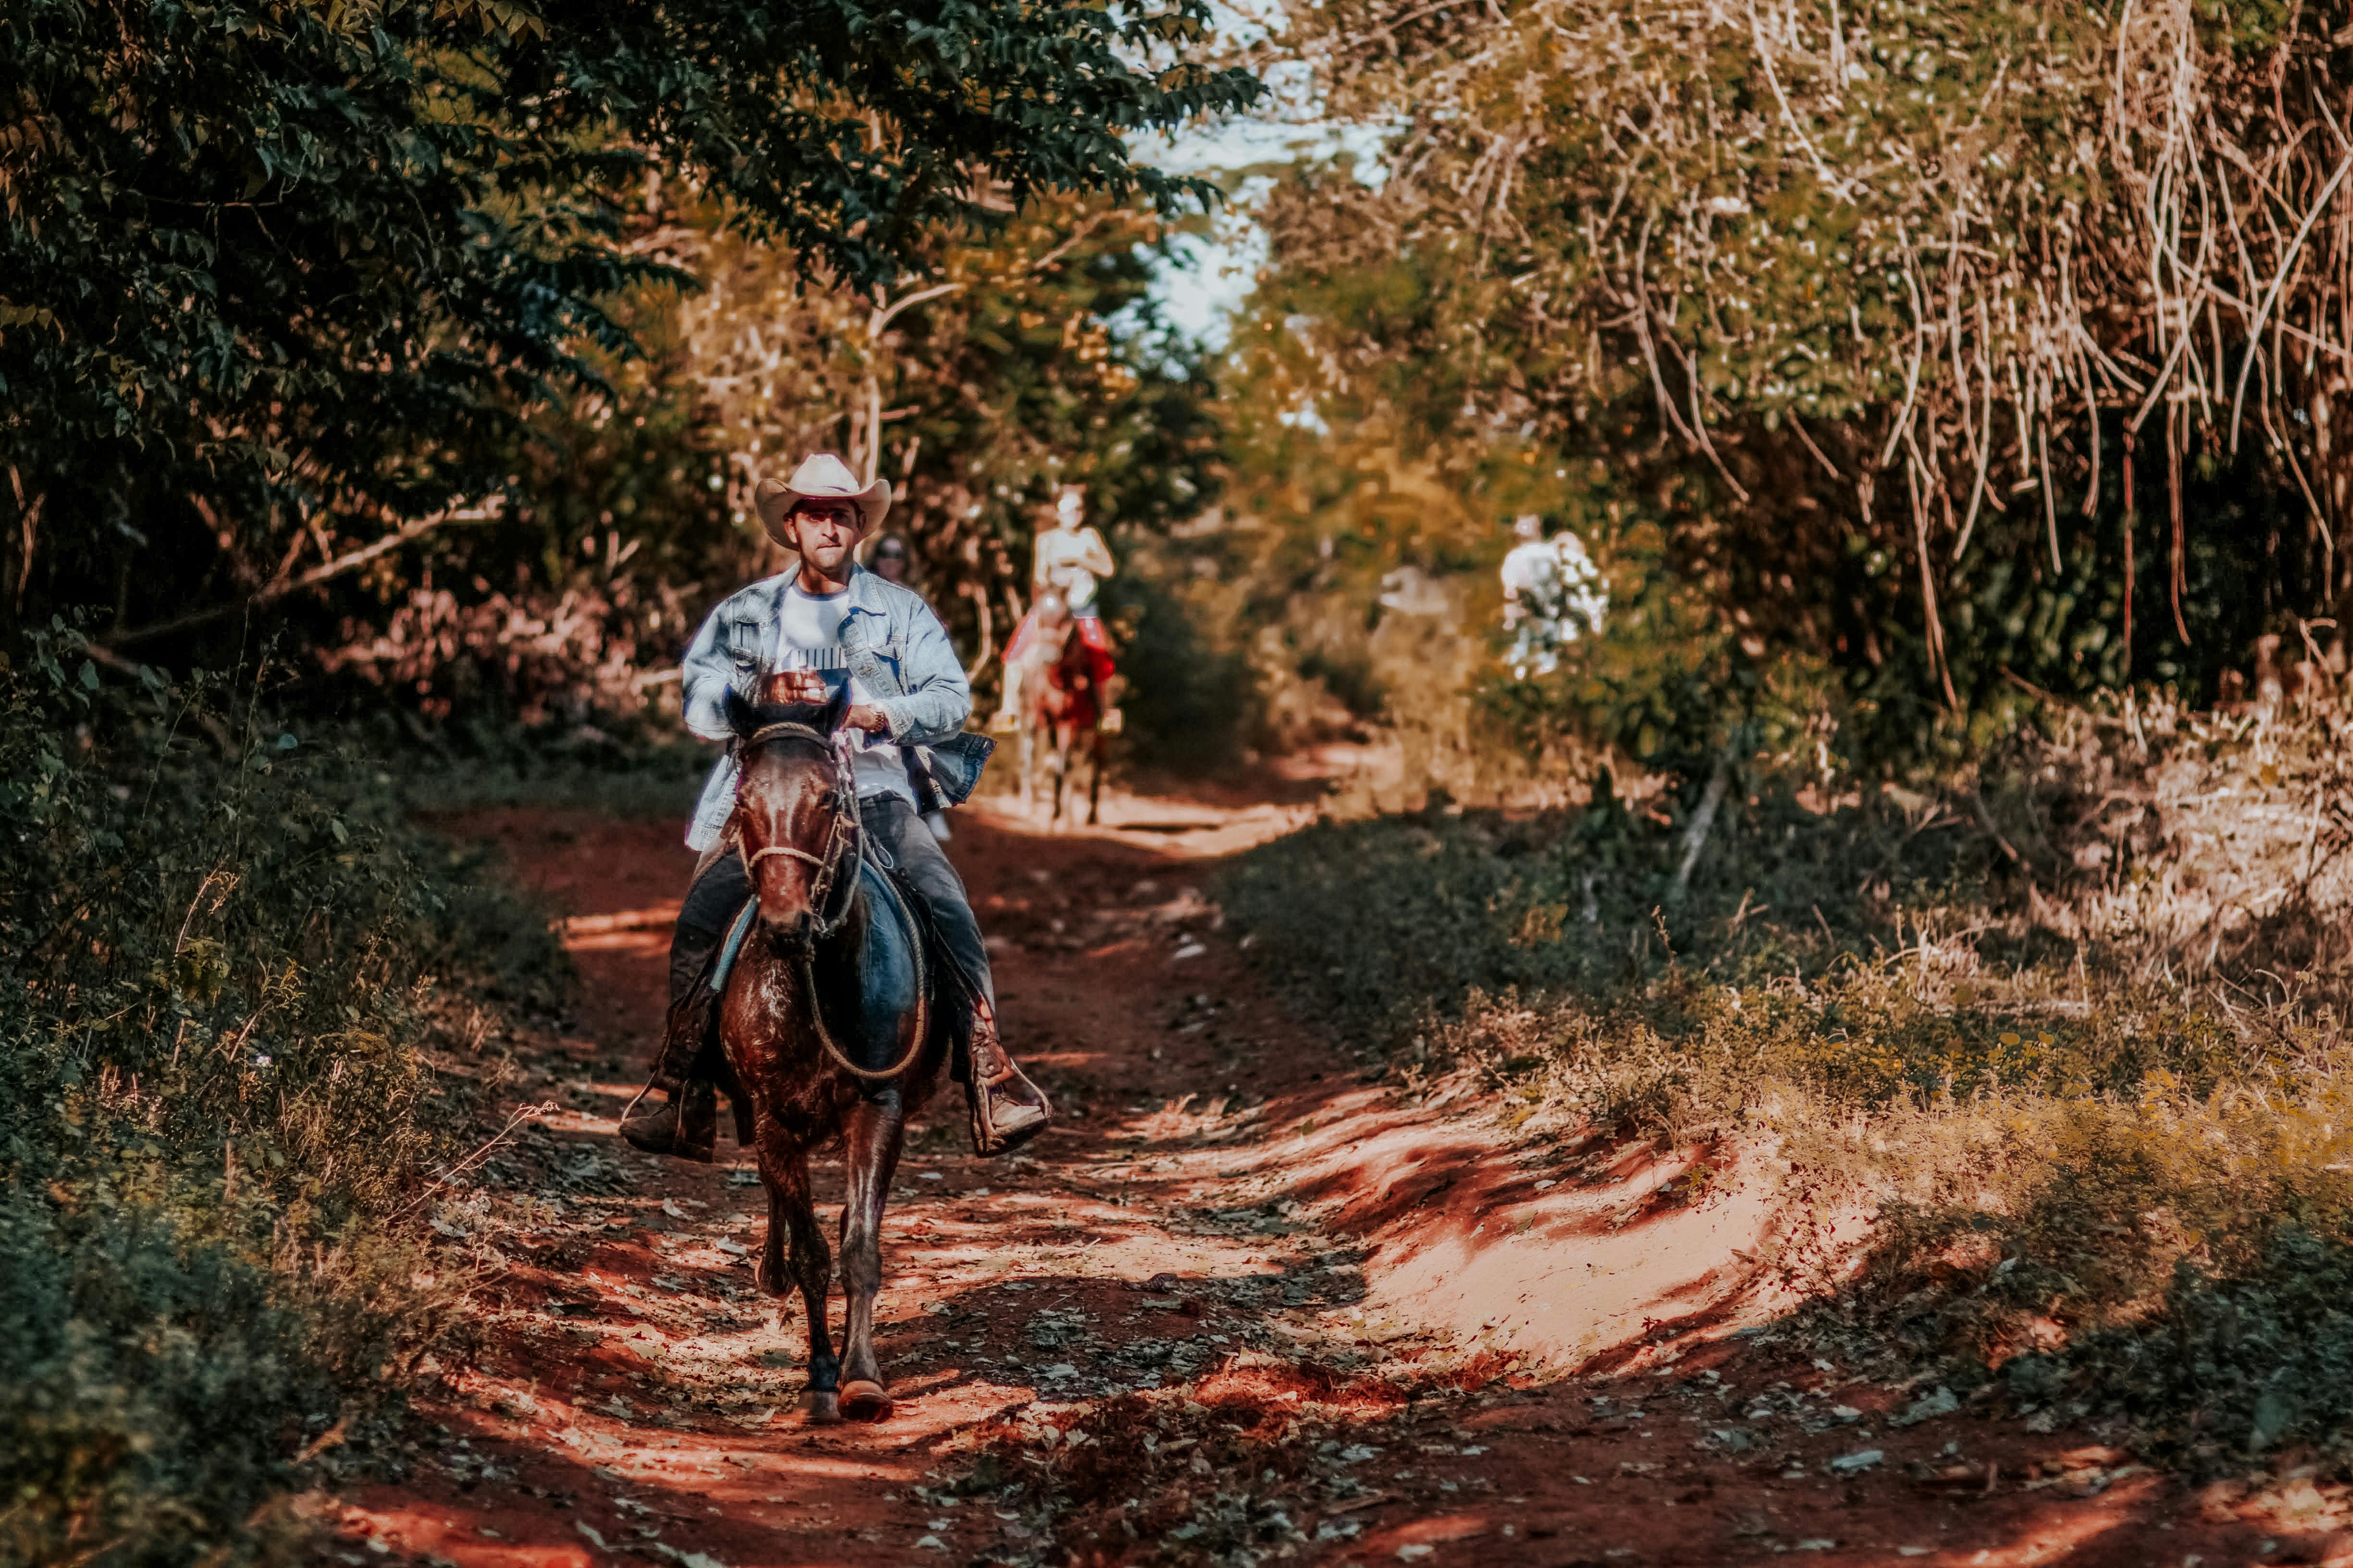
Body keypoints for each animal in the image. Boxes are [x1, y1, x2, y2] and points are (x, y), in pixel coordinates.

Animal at [709, 684, 949, 1424]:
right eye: (744, 801)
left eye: (825, 800)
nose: (787, 925)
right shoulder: (772, 1120)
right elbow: (813, 1253)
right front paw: (819, 1379)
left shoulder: (877, 1108)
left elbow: (858, 1246)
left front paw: (861, 1377)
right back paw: (772, 1273)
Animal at [1013, 592, 1106, 826]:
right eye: (1040, 620)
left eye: (1067, 622)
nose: (1047, 656)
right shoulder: (1036, 717)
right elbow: (1032, 755)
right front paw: (1030, 806)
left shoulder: (1069, 723)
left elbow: (1064, 763)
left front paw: (1059, 816)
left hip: (1096, 733)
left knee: (1095, 763)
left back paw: (1090, 815)